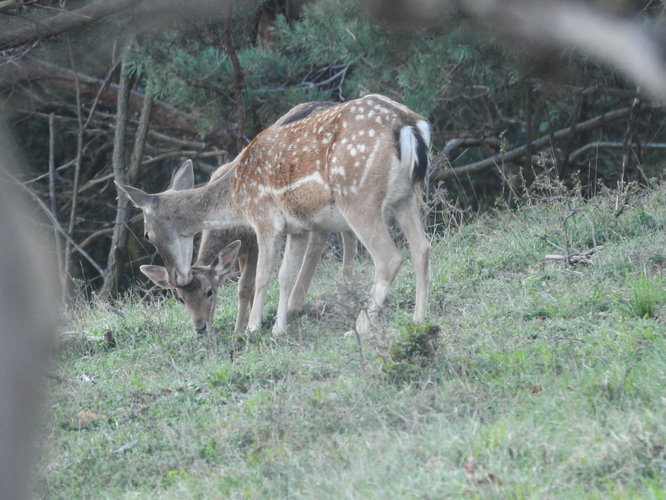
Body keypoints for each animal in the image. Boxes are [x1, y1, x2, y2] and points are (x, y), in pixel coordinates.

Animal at [118, 94, 430, 336]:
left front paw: (253, 328)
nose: (178, 277)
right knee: (421, 247)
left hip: (357, 196)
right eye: (180, 298)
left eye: (147, 233)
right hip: (405, 195)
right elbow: (285, 275)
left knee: (389, 257)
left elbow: (261, 277)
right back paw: (418, 318)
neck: (235, 196)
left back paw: (359, 327)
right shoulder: (297, 228)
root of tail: (409, 125)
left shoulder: (265, 219)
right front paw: (278, 329)